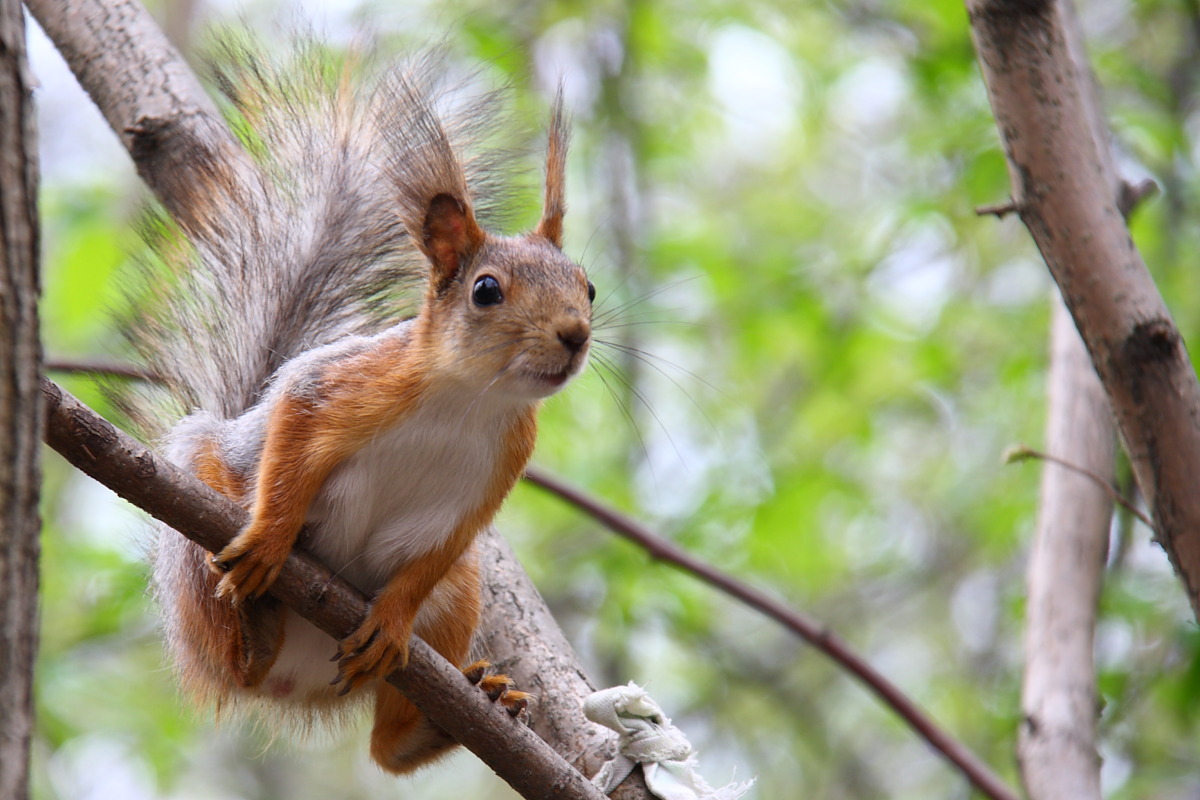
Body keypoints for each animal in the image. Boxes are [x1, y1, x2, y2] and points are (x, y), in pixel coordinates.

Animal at [124, 38, 592, 777]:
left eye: (589, 287)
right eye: (487, 290)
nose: (575, 336)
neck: (470, 401)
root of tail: (294, 679)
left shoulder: (490, 482)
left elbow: (433, 557)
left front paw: (393, 622)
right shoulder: (344, 386)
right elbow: (292, 440)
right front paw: (270, 539)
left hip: (458, 593)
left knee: (385, 749)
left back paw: (449, 716)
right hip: (196, 541)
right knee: (232, 662)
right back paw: (252, 631)